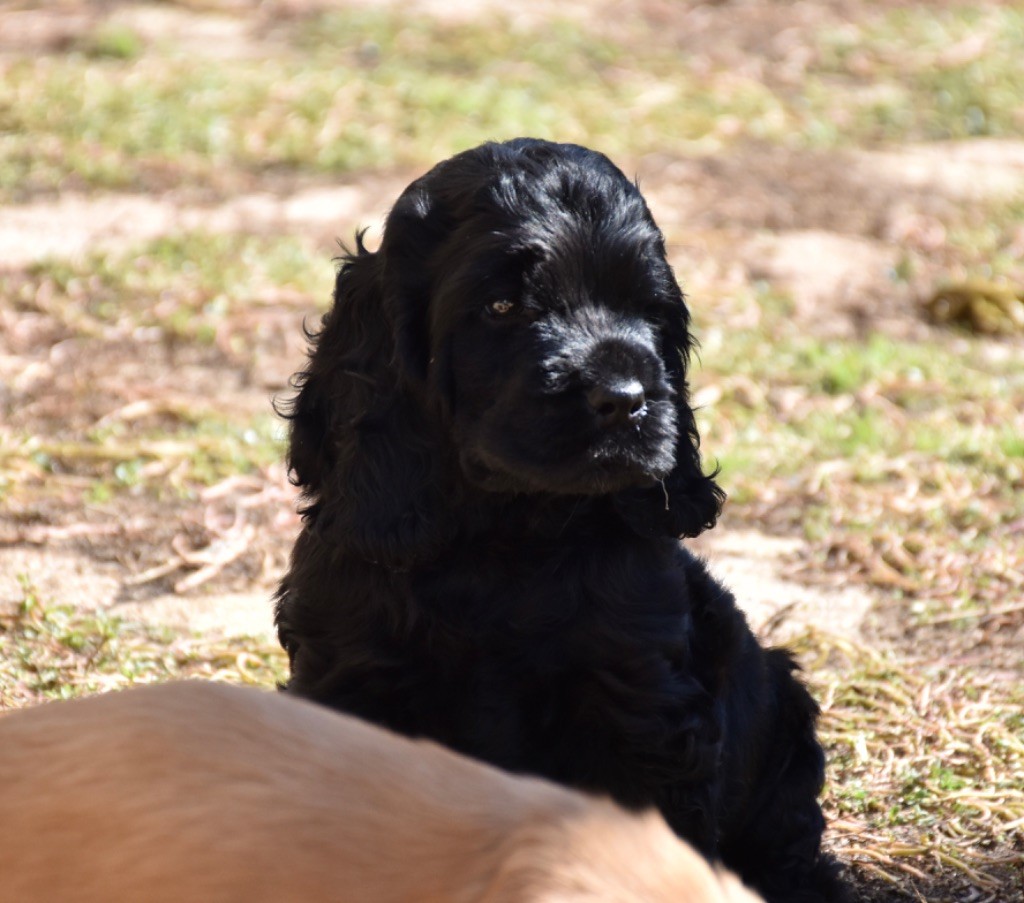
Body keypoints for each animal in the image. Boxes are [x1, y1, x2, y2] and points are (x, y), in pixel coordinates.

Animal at [276, 139, 843, 900]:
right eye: (502, 304)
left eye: (647, 310)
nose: (626, 399)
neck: (503, 536)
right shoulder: (349, 675)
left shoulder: (641, 704)